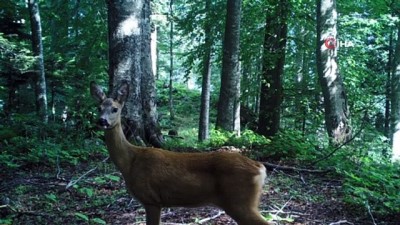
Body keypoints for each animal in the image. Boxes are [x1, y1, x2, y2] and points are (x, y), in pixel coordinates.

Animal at [90, 81, 272, 225]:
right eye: (99, 108)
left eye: (115, 109)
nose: (102, 121)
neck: (130, 161)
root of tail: (260, 167)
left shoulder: (151, 200)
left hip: (240, 203)